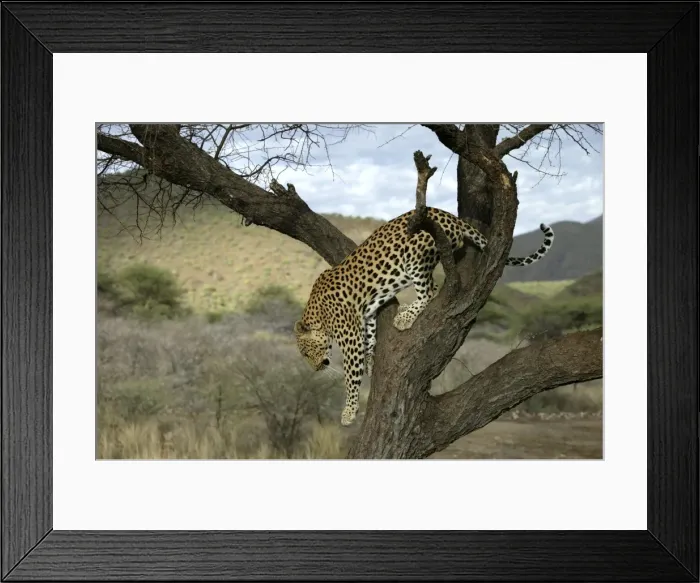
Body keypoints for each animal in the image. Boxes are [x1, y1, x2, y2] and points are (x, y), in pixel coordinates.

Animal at [294, 207, 555, 426]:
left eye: (306, 352)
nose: (315, 369)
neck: (318, 314)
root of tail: (447, 214)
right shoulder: (365, 318)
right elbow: (369, 340)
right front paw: (369, 363)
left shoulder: (349, 337)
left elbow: (350, 374)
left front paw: (349, 412)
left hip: (417, 256)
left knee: (430, 290)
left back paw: (405, 317)